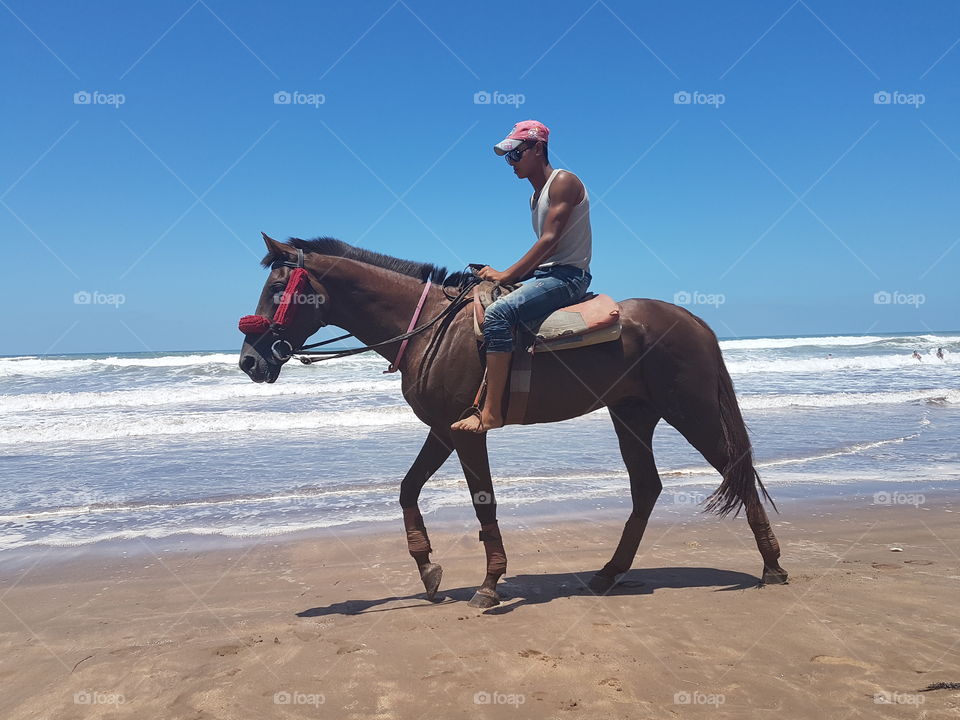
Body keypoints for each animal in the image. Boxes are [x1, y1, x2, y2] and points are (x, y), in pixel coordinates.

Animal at [240, 235, 788, 608]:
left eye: (276, 286)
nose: (249, 361)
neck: (430, 330)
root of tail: (693, 321)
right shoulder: (442, 430)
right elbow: (407, 489)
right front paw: (428, 568)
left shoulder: (465, 433)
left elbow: (483, 502)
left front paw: (489, 584)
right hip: (632, 414)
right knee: (647, 489)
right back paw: (609, 574)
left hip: (689, 410)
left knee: (734, 469)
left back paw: (773, 566)